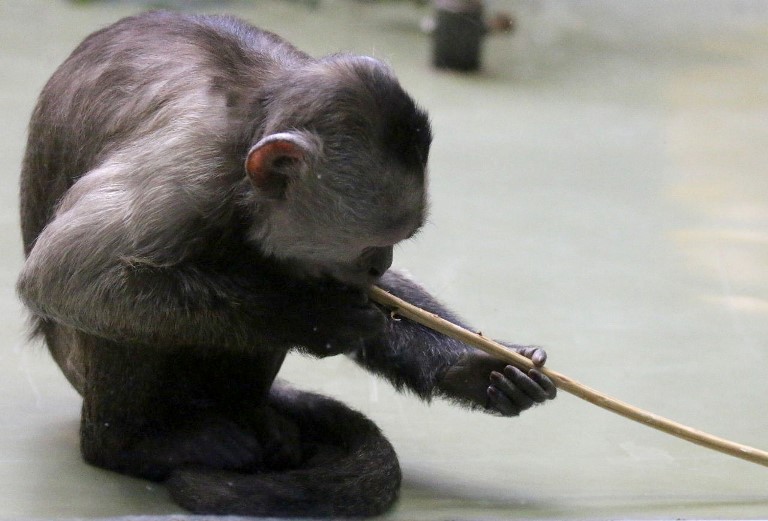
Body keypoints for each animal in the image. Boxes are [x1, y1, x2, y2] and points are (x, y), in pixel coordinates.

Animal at [17, 11, 557, 518]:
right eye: (372, 247)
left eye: (393, 247)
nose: (380, 264)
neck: (251, 116)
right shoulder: (188, 165)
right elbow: (64, 276)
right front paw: (315, 317)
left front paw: (480, 368)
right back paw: (132, 445)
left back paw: (256, 418)